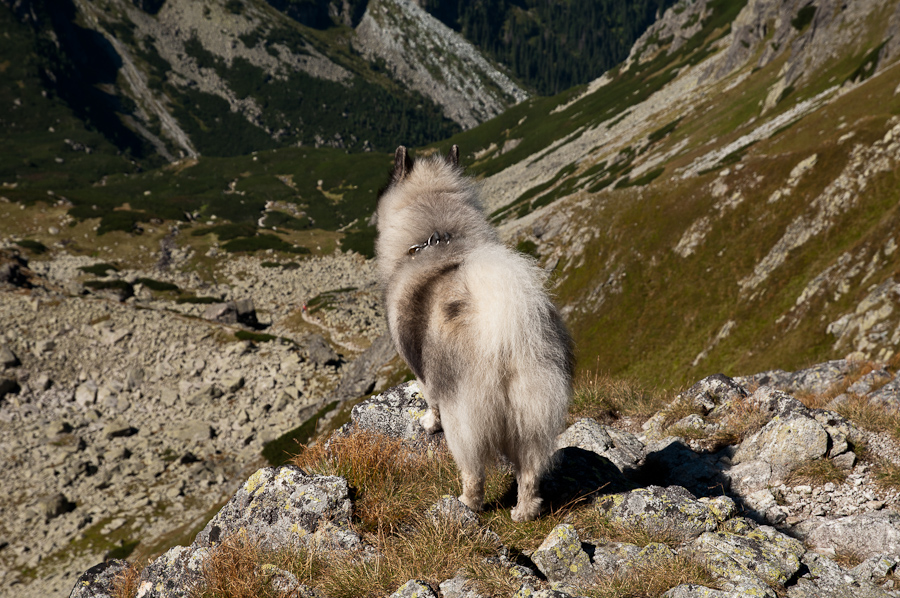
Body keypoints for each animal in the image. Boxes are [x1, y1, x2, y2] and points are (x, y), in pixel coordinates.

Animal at [374, 144, 572, 520]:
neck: (437, 238)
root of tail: (506, 329)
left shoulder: (422, 372)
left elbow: (429, 400)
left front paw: (427, 423)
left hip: (465, 420)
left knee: (473, 470)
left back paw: (466, 504)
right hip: (534, 414)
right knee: (529, 470)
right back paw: (524, 512)